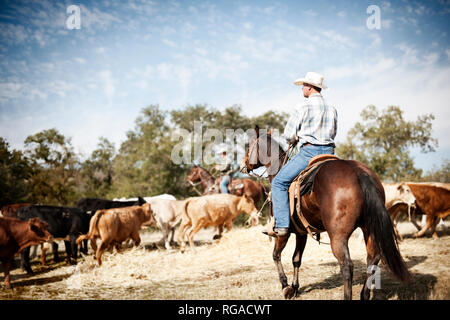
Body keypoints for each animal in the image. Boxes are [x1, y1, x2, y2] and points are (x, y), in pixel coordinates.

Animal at [239, 127, 412, 300]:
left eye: (249, 146)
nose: (242, 164)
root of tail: (358, 172)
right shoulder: (301, 233)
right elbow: (296, 259)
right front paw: (294, 287)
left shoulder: (283, 233)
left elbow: (276, 255)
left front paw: (285, 286)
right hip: (369, 229)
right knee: (372, 258)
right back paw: (364, 294)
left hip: (338, 236)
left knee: (346, 265)